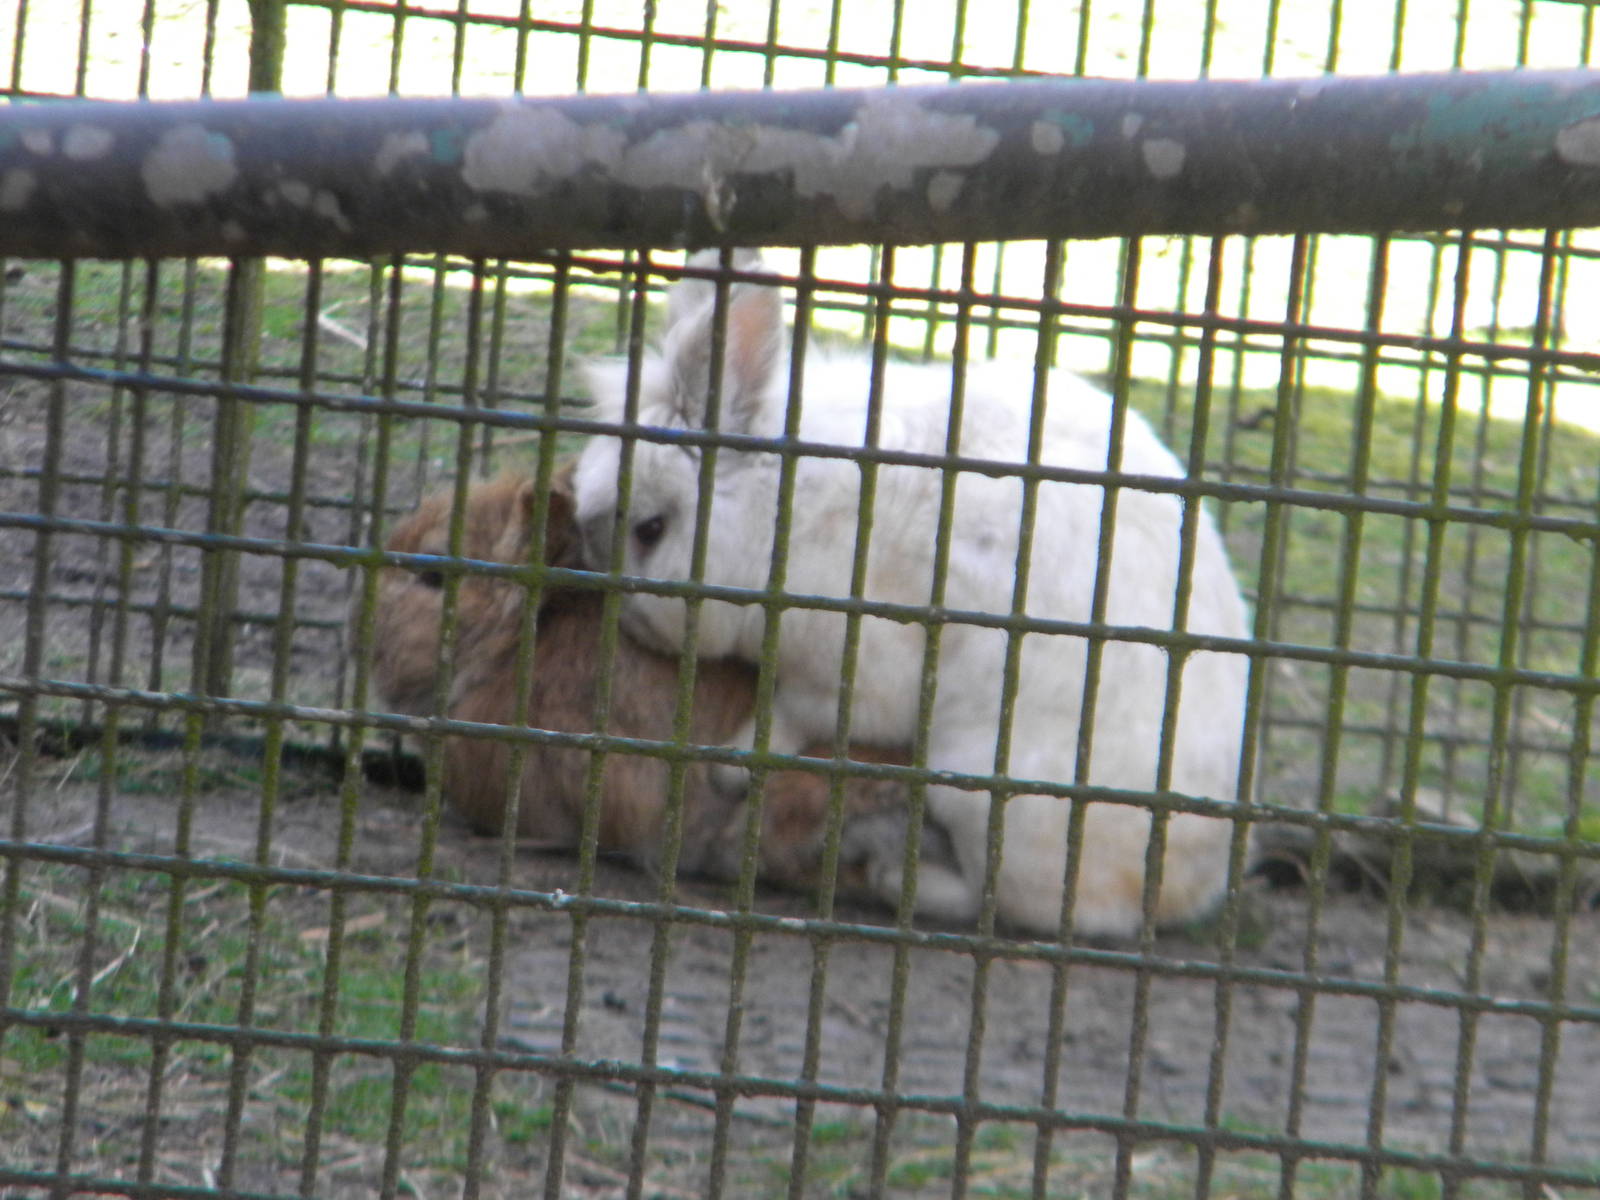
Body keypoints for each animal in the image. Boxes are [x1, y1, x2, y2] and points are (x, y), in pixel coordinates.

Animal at [571, 250, 1254, 938]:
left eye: (650, 530)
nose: (624, 617)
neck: (779, 509)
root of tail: (1181, 890)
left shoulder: (849, 672)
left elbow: (795, 718)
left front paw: (733, 763)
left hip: (988, 796)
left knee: (1010, 903)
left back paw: (896, 876)